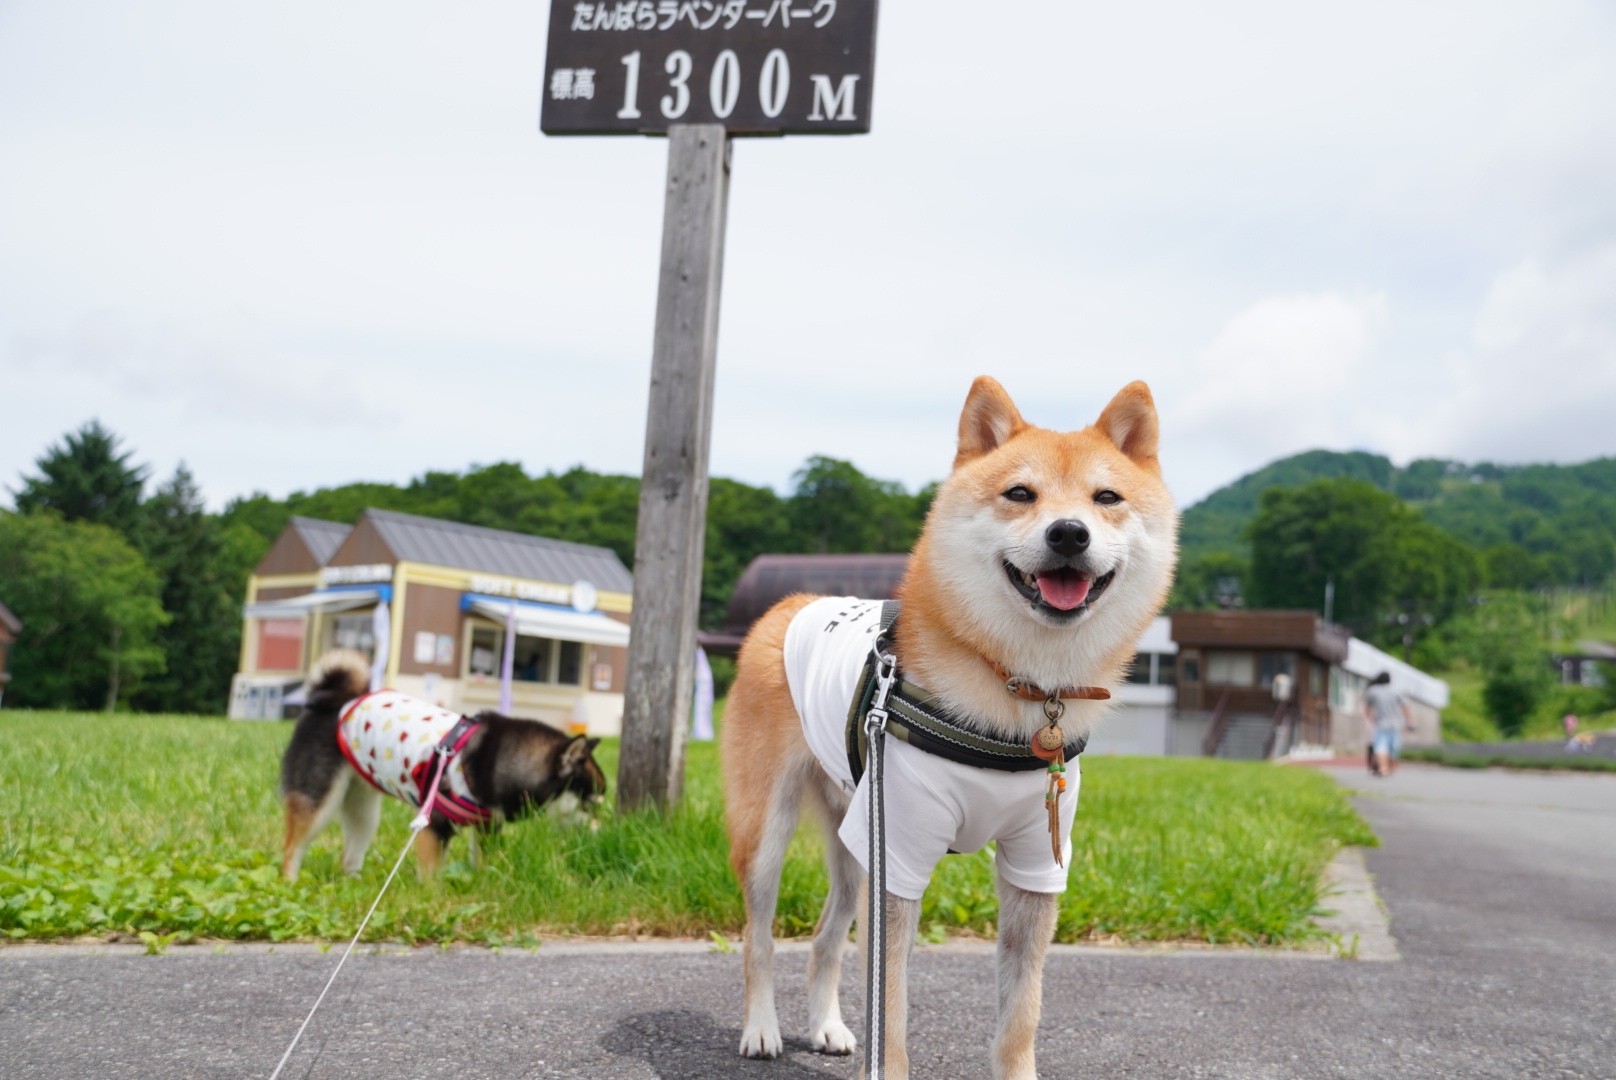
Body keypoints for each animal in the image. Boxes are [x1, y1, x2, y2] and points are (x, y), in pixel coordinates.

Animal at [277, 649, 607, 879]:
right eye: (589, 803)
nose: (599, 831)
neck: (494, 758)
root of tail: (338, 701)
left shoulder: (486, 826)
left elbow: (481, 863)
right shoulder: (432, 824)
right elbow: (431, 876)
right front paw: (431, 901)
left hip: (363, 809)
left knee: (349, 854)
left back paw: (354, 885)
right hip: (319, 800)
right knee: (293, 847)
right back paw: (289, 882)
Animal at [720, 375, 1176, 1073]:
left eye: (1107, 498)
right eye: (1020, 493)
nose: (1069, 533)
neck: (1019, 690)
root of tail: (794, 603)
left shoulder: (1037, 863)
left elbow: (1021, 1014)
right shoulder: (899, 854)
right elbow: (892, 1014)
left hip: (855, 833)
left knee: (825, 939)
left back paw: (826, 1025)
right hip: (769, 829)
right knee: (759, 937)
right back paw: (762, 1030)